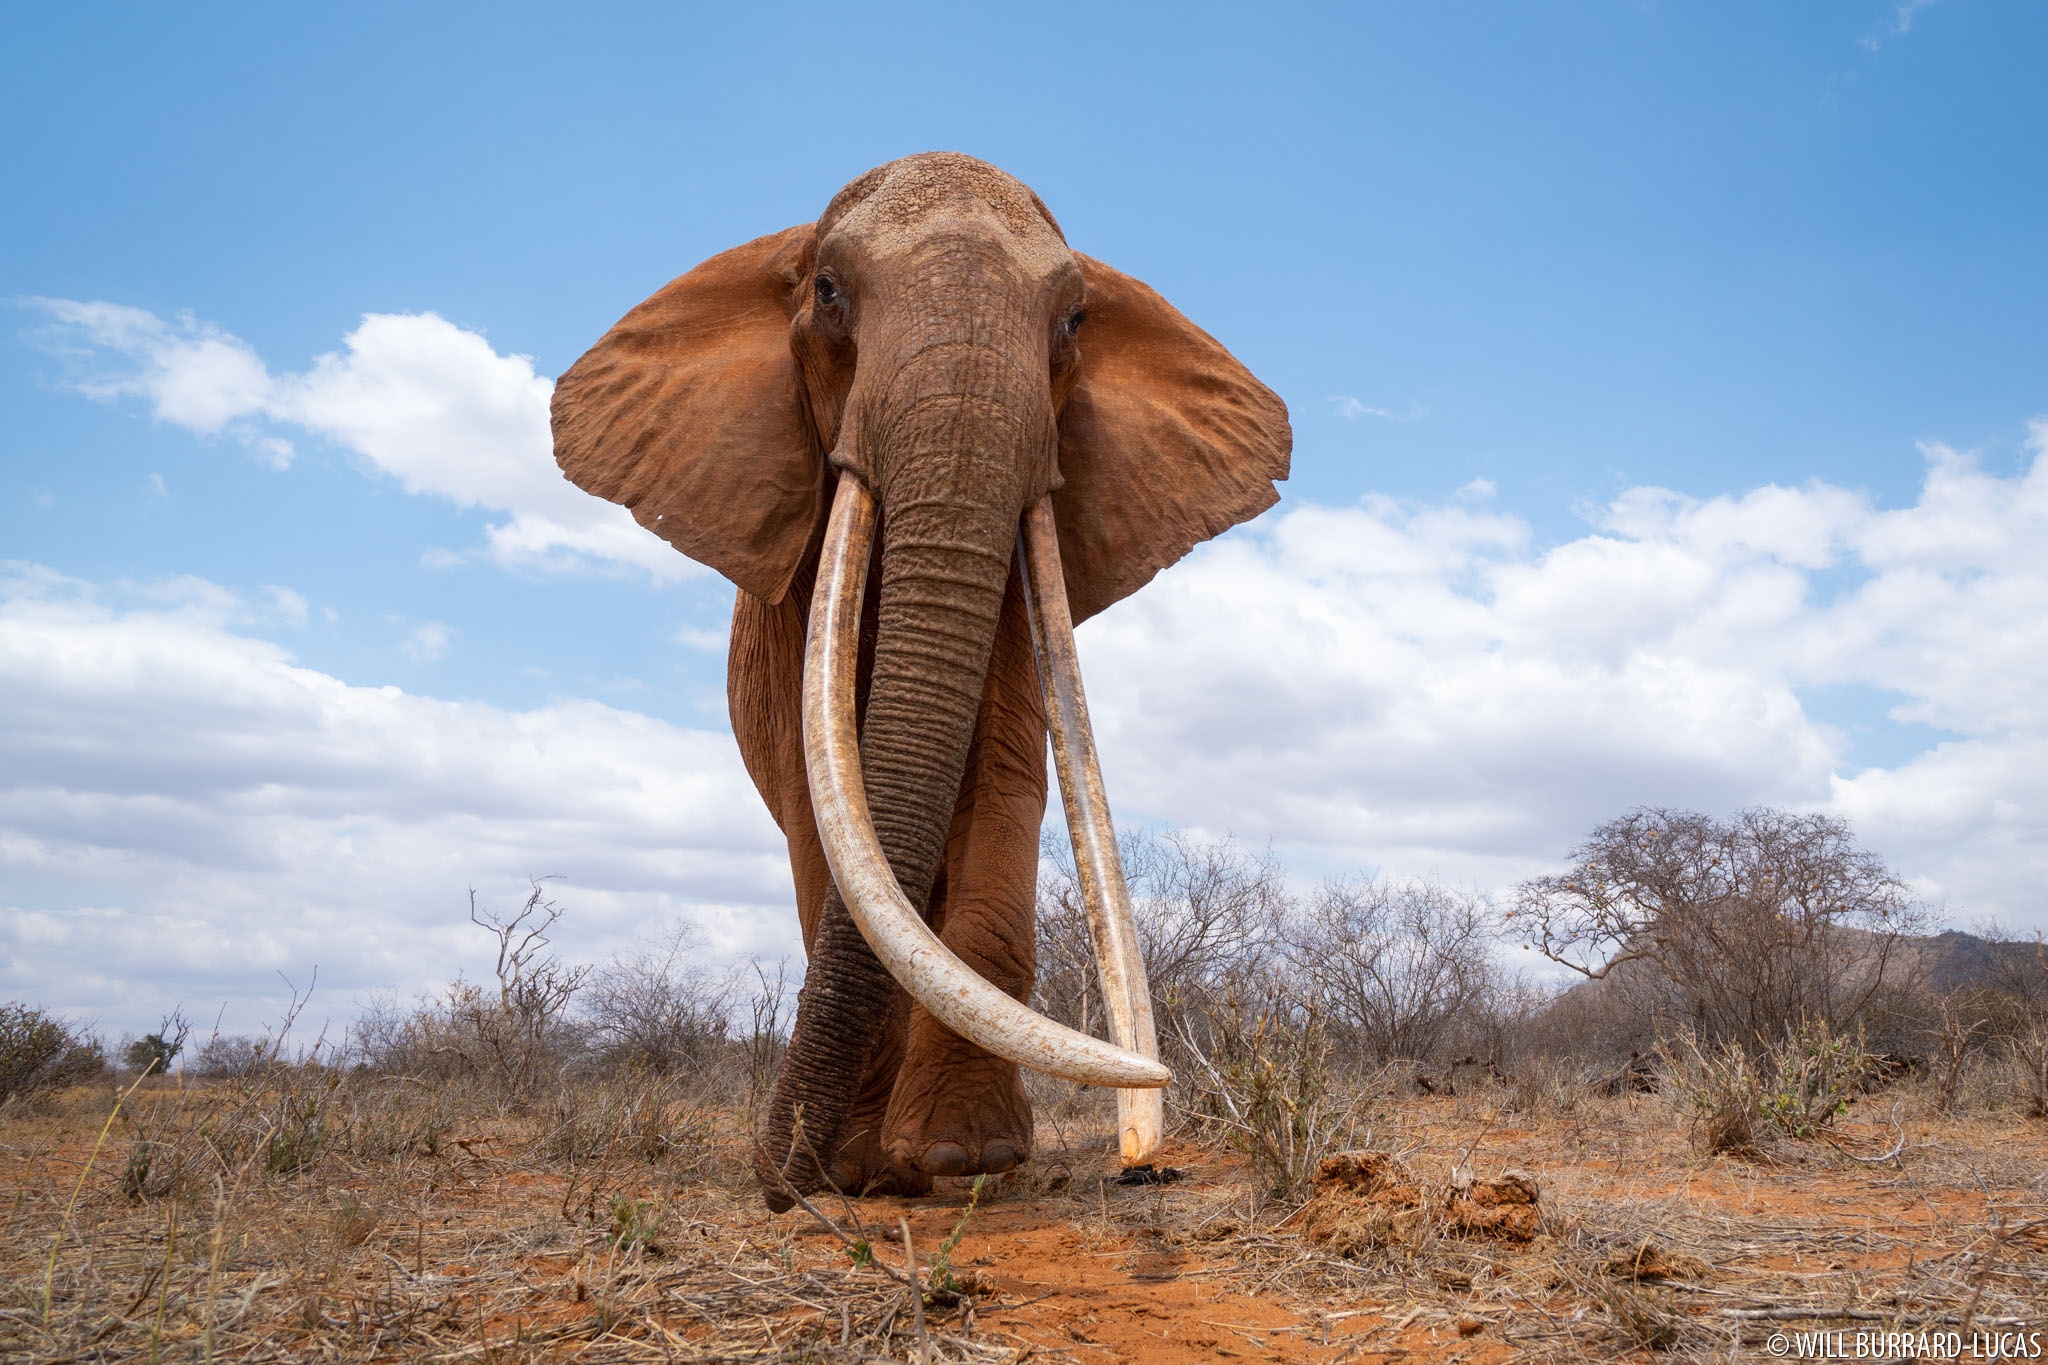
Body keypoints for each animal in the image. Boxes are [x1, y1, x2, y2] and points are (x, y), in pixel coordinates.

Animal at [550, 152, 1290, 1209]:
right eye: (827, 291)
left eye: (1073, 321)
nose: (777, 1183)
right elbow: (822, 807)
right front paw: (858, 1170)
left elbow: (1003, 778)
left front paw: (959, 1157)